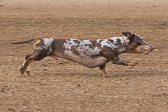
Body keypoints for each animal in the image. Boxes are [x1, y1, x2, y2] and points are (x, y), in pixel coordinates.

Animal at [11, 31, 155, 77]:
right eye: (140, 41)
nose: (153, 47)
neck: (114, 43)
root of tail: (40, 39)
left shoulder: (103, 63)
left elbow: (103, 70)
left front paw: (107, 76)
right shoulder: (113, 58)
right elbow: (123, 60)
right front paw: (133, 62)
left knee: (28, 59)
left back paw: (24, 70)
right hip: (39, 54)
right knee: (27, 57)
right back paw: (22, 68)